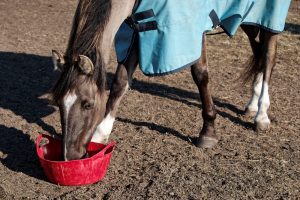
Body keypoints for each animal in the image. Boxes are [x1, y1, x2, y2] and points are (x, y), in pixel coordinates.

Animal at [51, 0, 290, 160]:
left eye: (87, 104)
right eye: (59, 102)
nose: (71, 156)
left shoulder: (192, 31)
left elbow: (200, 75)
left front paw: (208, 132)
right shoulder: (136, 31)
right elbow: (120, 83)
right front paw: (101, 134)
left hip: (269, 17)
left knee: (269, 56)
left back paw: (261, 115)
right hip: (248, 18)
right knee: (258, 52)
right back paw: (252, 104)